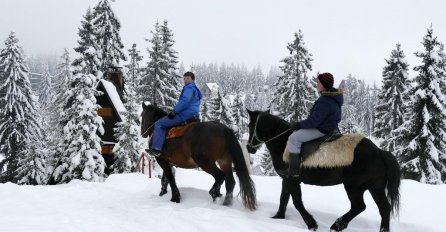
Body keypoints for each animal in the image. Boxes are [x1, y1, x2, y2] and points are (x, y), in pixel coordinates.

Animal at [246, 110, 402, 232]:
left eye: (250, 125)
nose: (248, 147)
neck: (283, 142)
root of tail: (379, 152)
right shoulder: (286, 179)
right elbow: (283, 198)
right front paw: (278, 217)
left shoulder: (292, 180)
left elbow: (297, 202)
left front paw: (311, 224)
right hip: (375, 187)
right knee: (384, 208)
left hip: (354, 187)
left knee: (359, 206)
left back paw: (337, 225)